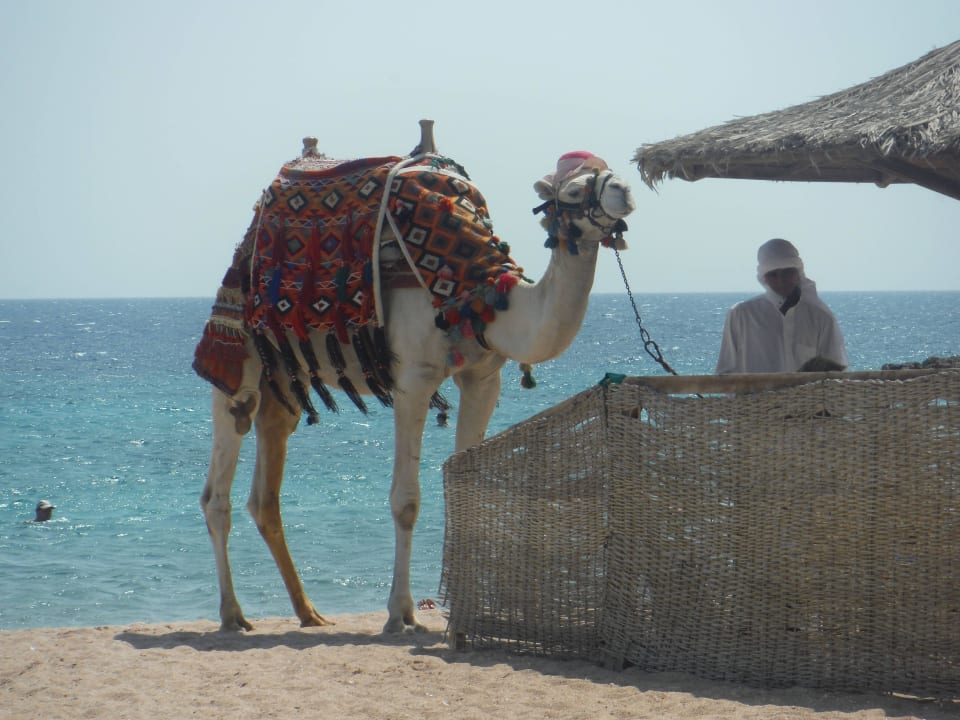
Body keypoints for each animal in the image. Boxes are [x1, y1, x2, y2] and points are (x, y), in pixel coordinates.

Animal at [196, 121, 636, 633]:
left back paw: (310, 613)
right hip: (237, 359)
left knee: (265, 490)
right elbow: (406, 501)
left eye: (610, 170)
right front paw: (400, 614)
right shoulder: (413, 379)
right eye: (573, 189)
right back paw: (233, 615)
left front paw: (466, 612)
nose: (624, 191)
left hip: (284, 379)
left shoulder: (484, 377)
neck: (476, 292)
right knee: (217, 491)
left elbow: (468, 485)